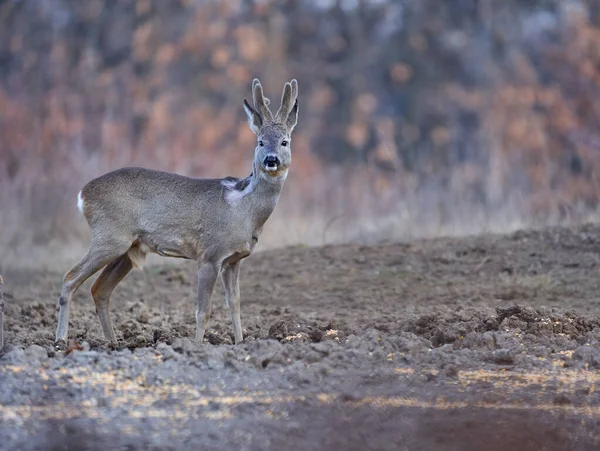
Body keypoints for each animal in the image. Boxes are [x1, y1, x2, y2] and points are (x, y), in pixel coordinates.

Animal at [55, 77, 298, 346]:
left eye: (285, 141)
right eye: (260, 141)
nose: (271, 160)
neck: (244, 210)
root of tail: (83, 195)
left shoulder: (234, 260)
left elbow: (235, 304)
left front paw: (239, 343)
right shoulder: (210, 254)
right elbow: (203, 311)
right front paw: (197, 346)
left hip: (128, 249)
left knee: (99, 289)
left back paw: (113, 343)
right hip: (110, 236)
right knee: (70, 277)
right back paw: (61, 340)